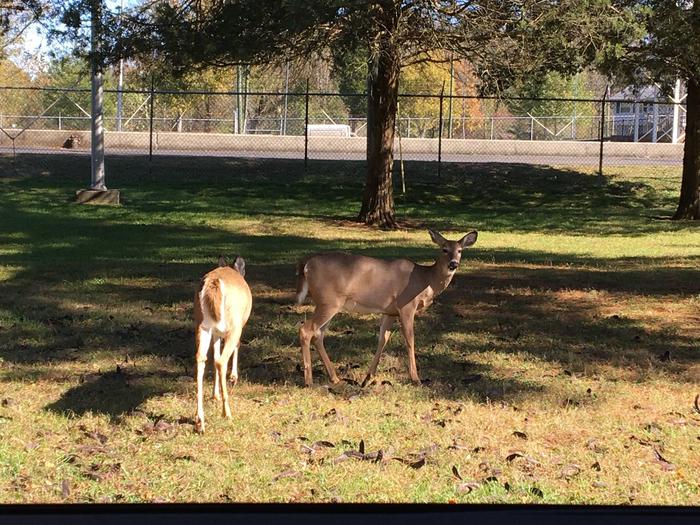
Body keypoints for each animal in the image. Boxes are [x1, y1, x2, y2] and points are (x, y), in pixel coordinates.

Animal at [194, 256, 252, 432]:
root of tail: (214, 283)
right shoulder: (238, 326)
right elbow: (237, 346)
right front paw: (233, 377)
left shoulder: (216, 332)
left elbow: (214, 355)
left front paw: (215, 395)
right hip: (234, 324)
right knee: (221, 361)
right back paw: (227, 413)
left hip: (203, 324)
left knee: (201, 358)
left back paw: (200, 420)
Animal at [292, 228, 478, 384]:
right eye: (444, 249)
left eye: (460, 250)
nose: (453, 263)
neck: (425, 280)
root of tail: (306, 265)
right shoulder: (406, 306)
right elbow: (410, 339)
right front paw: (415, 378)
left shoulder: (390, 312)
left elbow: (383, 338)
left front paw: (368, 377)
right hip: (328, 301)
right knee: (306, 330)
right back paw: (309, 381)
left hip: (330, 304)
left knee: (318, 334)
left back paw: (335, 378)